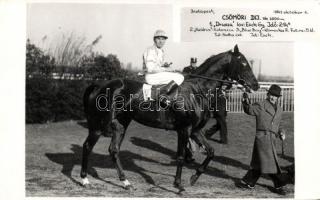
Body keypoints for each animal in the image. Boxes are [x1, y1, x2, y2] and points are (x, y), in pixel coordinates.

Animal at [80, 44, 260, 191]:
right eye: (244, 63)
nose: (256, 85)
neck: (197, 91)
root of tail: (100, 85)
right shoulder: (184, 130)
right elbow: (180, 157)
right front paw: (178, 184)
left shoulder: (195, 130)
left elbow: (211, 152)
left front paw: (194, 177)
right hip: (98, 125)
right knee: (87, 146)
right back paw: (84, 180)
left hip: (120, 124)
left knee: (114, 150)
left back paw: (125, 182)